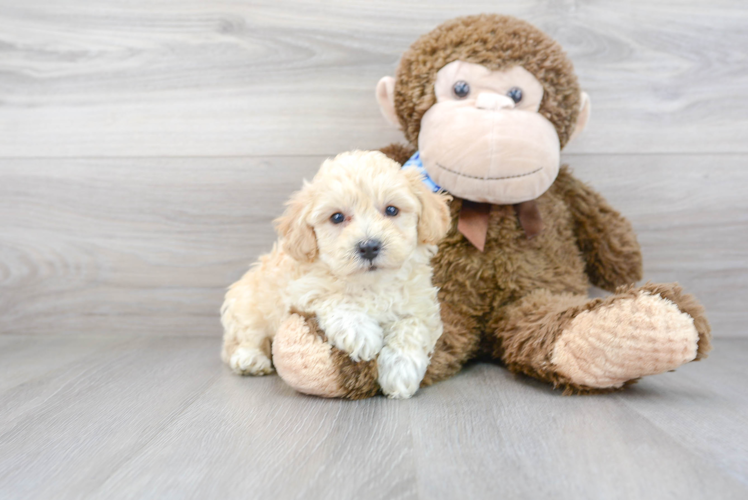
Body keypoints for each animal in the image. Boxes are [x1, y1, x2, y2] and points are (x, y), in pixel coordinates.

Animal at [221, 150, 450, 396]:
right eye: (337, 217)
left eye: (391, 210)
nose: (369, 246)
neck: (371, 284)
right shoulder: (302, 290)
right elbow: (335, 299)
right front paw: (361, 334)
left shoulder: (420, 305)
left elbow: (411, 327)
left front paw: (401, 371)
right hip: (248, 303)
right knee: (247, 337)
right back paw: (250, 359)